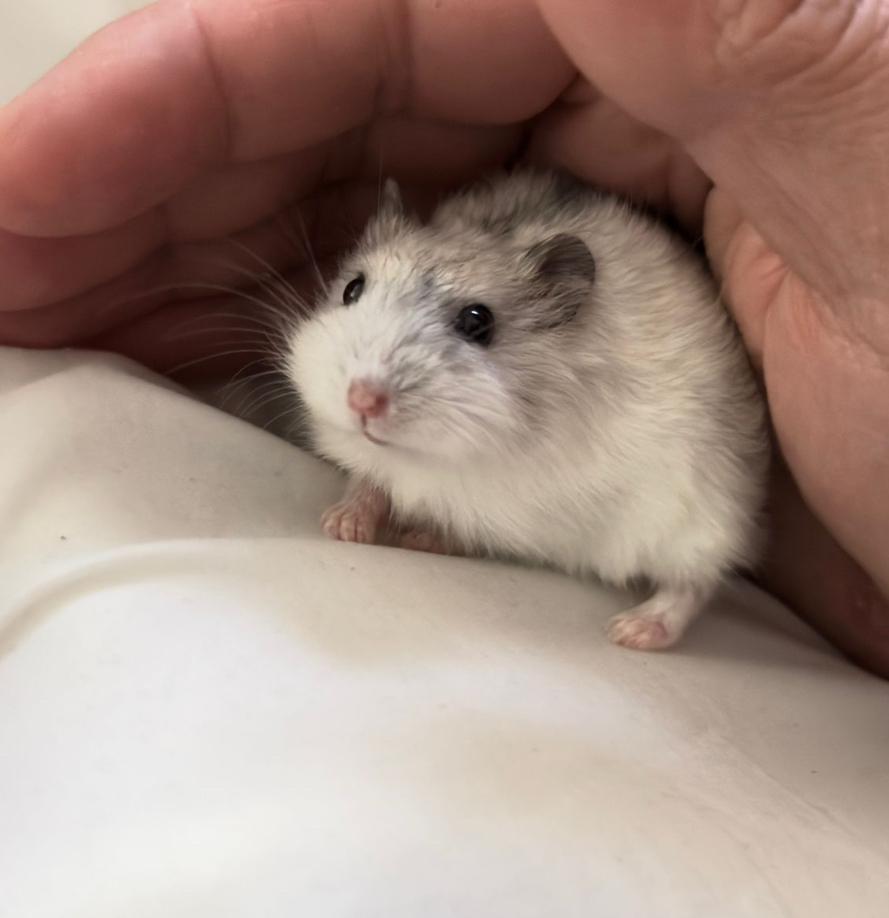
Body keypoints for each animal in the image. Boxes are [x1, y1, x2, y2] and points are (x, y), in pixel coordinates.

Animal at [285, 169, 769, 651]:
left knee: (693, 584)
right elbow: (368, 482)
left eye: (478, 322)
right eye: (352, 289)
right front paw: (340, 526)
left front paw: (411, 537)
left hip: (704, 519)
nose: (362, 401)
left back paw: (631, 631)